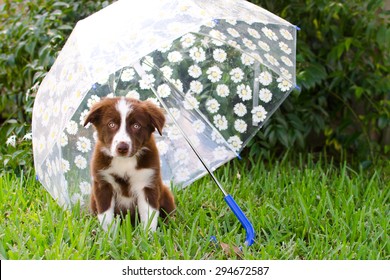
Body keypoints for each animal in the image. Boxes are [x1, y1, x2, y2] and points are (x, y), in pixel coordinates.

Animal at [85, 97, 177, 231]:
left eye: (136, 125)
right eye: (111, 124)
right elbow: (105, 215)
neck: (125, 161)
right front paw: (109, 234)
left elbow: (149, 215)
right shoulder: (103, 183)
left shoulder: (147, 183)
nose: (122, 147)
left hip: (165, 193)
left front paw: (149, 235)